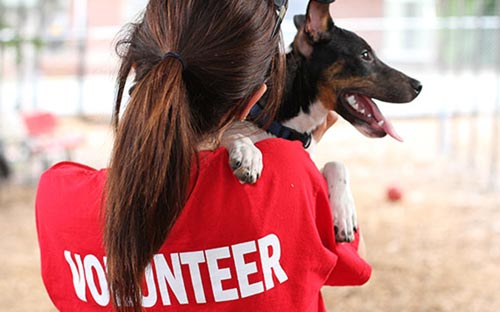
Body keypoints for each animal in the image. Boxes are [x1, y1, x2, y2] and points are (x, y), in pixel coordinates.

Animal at [221, 1, 420, 243]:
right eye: (365, 55)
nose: (419, 85)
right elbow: (234, 132)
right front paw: (248, 155)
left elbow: (337, 164)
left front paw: (344, 213)